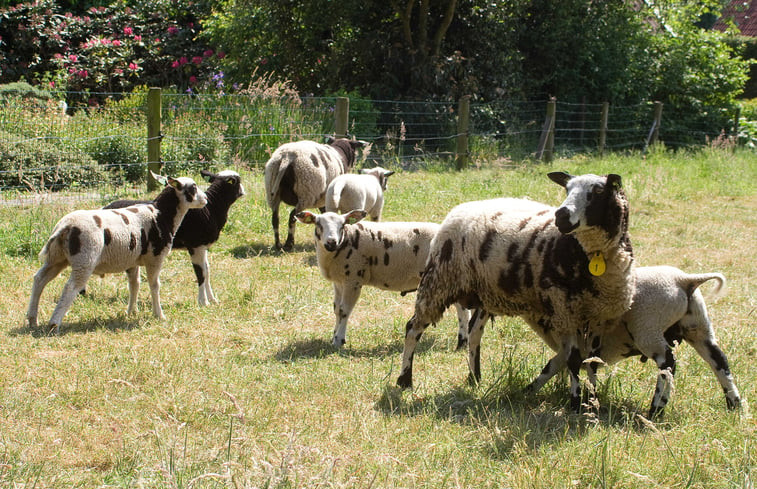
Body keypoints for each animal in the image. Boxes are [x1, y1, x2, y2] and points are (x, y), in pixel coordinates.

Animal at [26, 170, 207, 334]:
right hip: (84, 259)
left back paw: (32, 319)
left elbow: (134, 284)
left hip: (57, 257)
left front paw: (131, 311)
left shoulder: (132, 260)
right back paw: (54, 324)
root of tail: (64, 227)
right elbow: (154, 285)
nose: (205, 199)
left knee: (39, 279)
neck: (162, 214)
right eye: (193, 187)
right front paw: (159, 315)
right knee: (70, 287)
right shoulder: (155, 257)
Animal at [103, 168, 244, 304]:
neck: (211, 209)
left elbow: (207, 271)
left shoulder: (203, 246)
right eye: (237, 181)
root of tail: (106, 206)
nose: (243, 191)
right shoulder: (195, 246)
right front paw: (203, 302)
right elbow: (200, 273)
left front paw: (212, 299)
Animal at [294, 209, 466, 346]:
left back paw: (462, 340)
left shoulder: (353, 280)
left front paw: (339, 340)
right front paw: (334, 336)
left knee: (462, 309)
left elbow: (344, 310)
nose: (331, 242)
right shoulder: (339, 282)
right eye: (318, 224)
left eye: (342, 225)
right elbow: (336, 309)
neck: (346, 241)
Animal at [398, 172, 636, 412]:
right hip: (439, 281)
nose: (561, 216)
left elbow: (593, 362)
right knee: (413, 328)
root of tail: (459, 209)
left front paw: (592, 402)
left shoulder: (600, 316)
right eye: (567, 189)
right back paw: (405, 380)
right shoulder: (564, 311)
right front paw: (576, 403)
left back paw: (475, 377)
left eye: (598, 191)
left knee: (474, 333)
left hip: (483, 291)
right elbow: (575, 359)